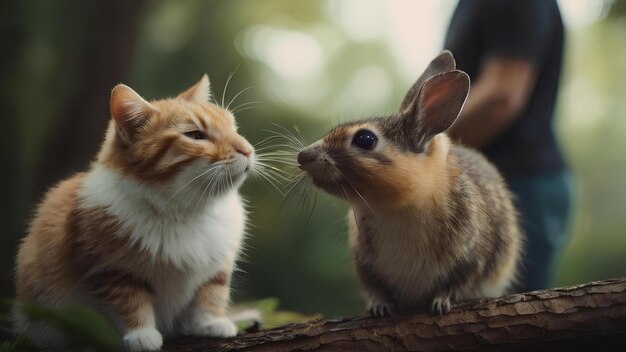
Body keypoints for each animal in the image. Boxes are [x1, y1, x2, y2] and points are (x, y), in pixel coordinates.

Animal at [15, 74, 254, 350]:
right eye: (195, 135)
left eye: (233, 127)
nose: (248, 150)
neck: (185, 210)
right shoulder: (111, 269)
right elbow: (129, 300)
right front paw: (141, 334)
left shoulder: (218, 267)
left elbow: (212, 291)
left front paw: (210, 322)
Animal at [298, 50, 520, 316]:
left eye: (365, 139)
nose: (302, 156)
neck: (398, 208)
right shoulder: (365, 266)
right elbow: (375, 288)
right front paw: (379, 306)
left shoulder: (474, 259)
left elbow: (455, 284)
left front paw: (441, 302)